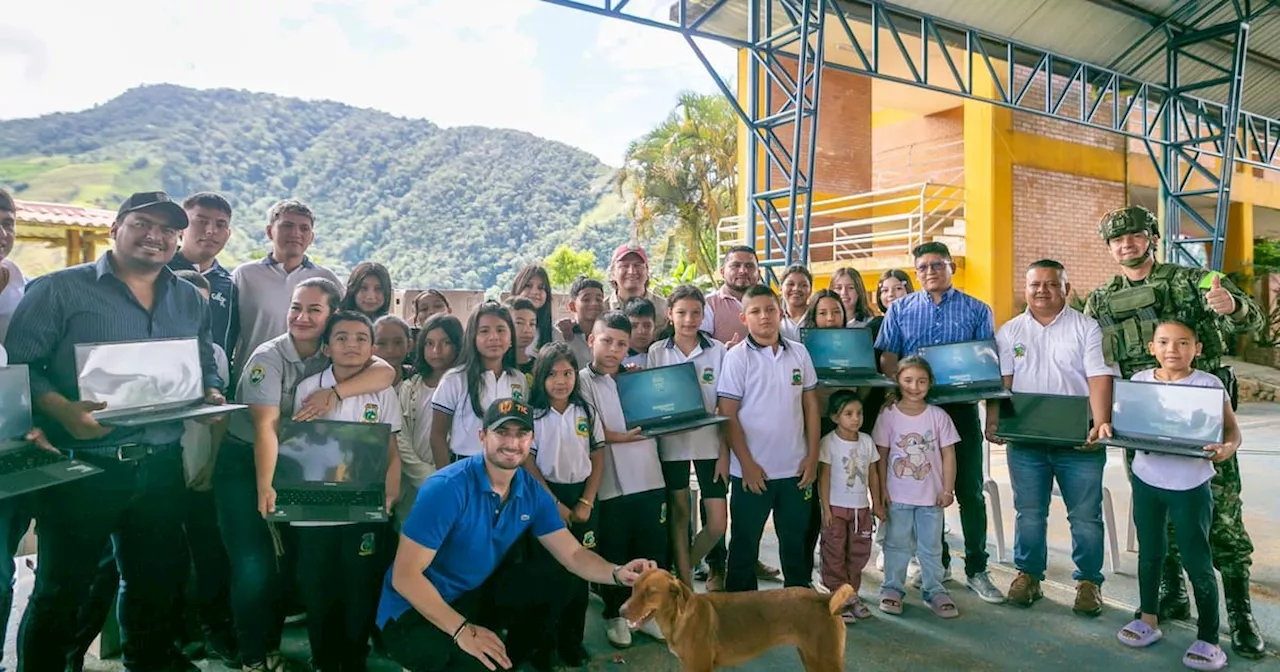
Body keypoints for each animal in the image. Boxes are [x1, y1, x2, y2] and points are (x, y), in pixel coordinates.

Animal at [616, 565, 849, 670]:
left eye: (651, 592)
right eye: (634, 588)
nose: (620, 611)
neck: (678, 620)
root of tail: (824, 598)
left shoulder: (699, 667)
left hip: (826, 661)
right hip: (811, 659)